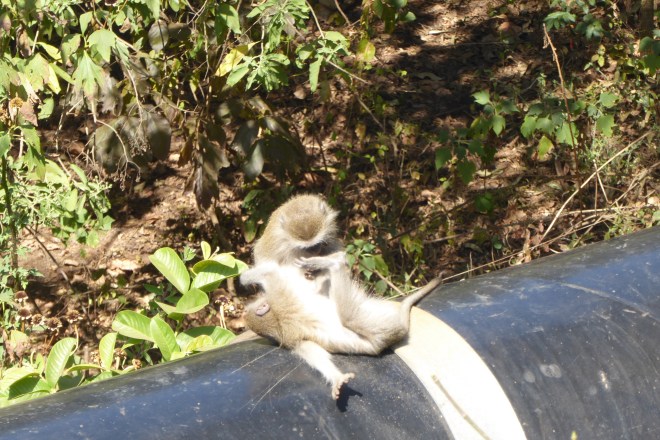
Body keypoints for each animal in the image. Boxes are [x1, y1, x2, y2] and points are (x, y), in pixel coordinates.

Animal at [239, 252, 442, 399]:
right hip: (374, 322)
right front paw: (337, 378)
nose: (244, 309)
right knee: (348, 317)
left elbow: (268, 271)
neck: (275, 319)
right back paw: (336, 261)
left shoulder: (279, 296)